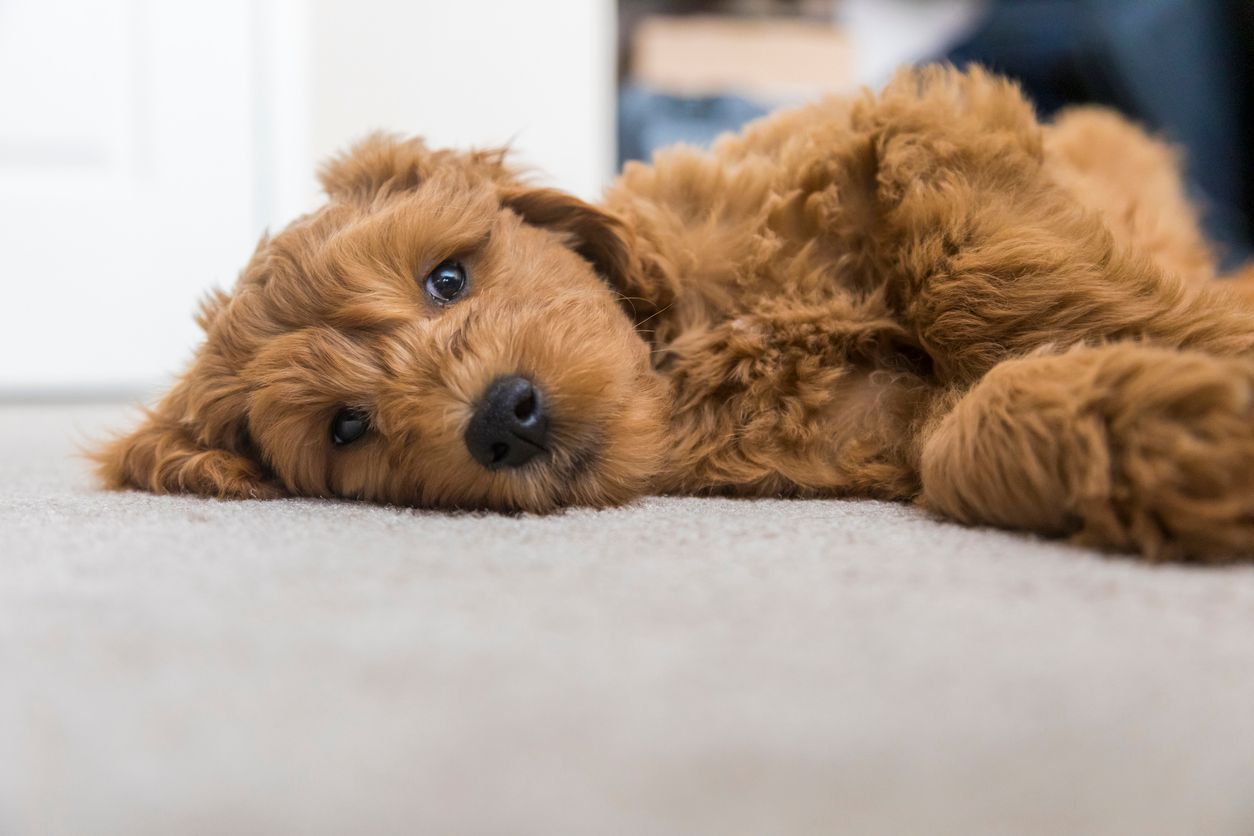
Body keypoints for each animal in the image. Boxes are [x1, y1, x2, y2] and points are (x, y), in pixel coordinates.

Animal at [92, 67, 1254, 561]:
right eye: (346, 426)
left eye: (447, 280)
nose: (502, 416)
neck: (686, 341)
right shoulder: (884, 431)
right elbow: (968, 433)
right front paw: (1194, 425)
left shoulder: (920, 121)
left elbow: (977, 268)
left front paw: (1200, 342)